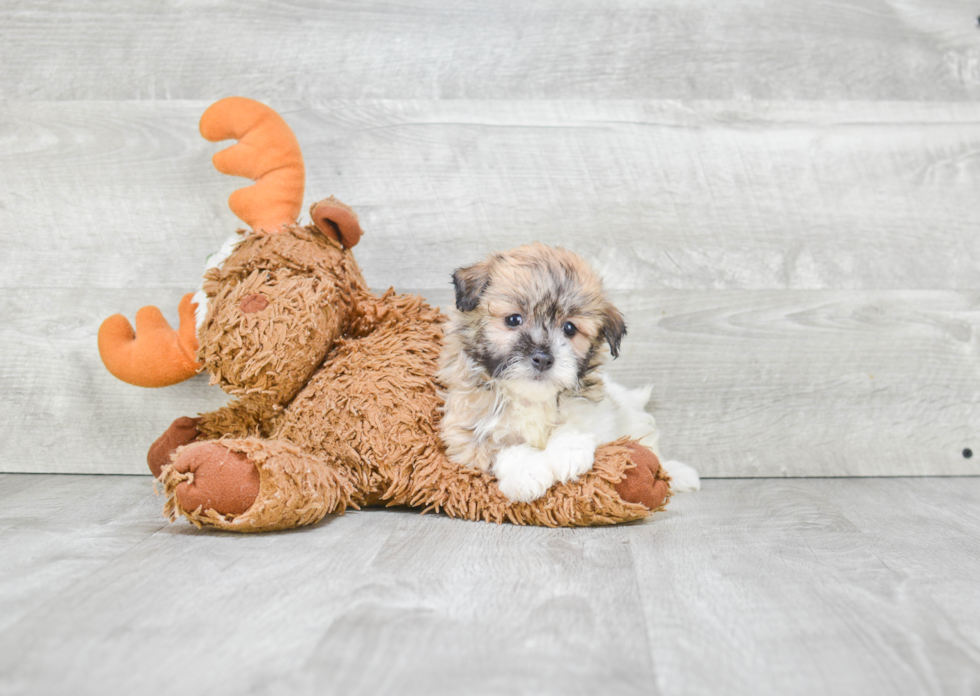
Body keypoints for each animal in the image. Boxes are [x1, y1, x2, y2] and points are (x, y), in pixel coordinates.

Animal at [436, 242, 696, 502]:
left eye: (569, 328)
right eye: (513, 319)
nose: (542, 358)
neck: (530, 399)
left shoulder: (599, 414)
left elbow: (576, 426)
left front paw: (567, 455)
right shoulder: (466, 434)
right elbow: (504, 449)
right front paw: (527, 474)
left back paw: (678, 473)